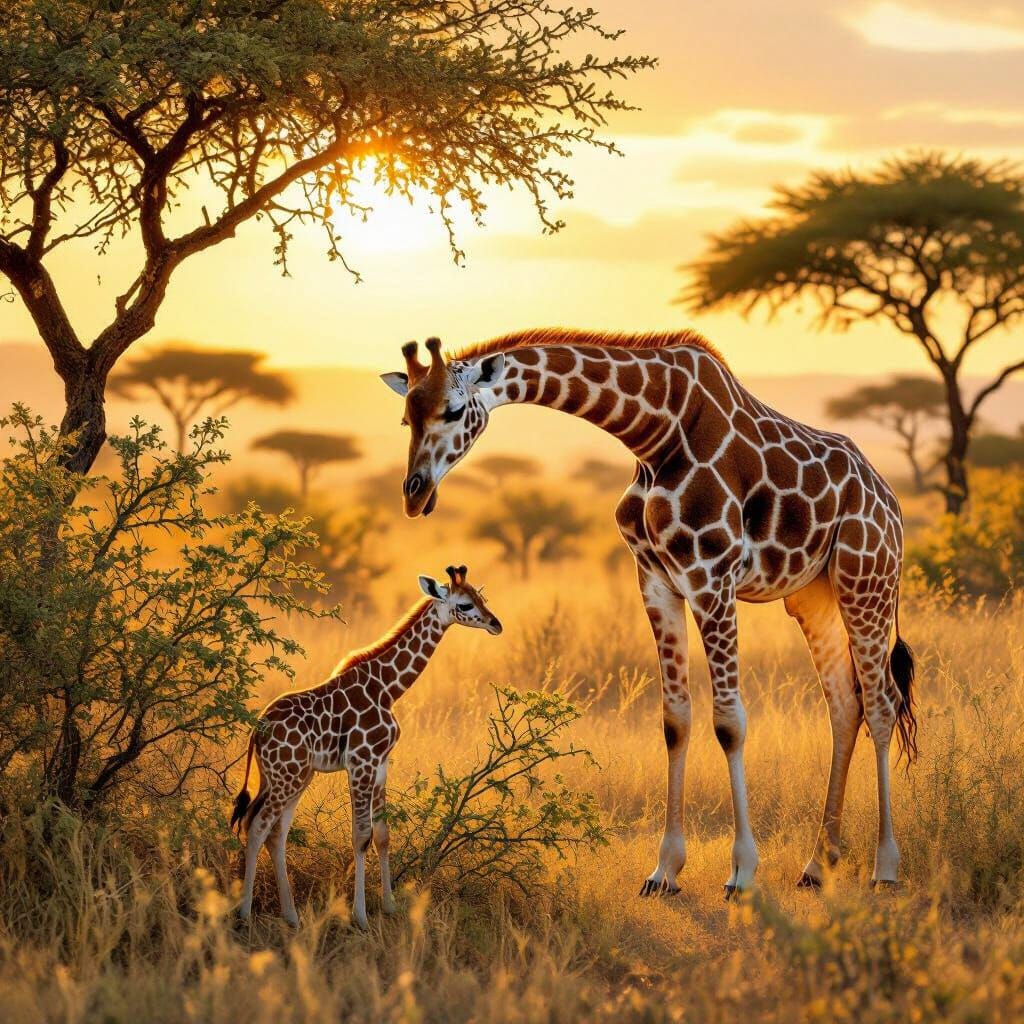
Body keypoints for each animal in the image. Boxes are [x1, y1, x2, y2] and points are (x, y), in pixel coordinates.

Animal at [231, 565, 502, 928]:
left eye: (481, 598)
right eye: (465, 605)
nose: (496, 624)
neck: (387, 688)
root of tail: (256, 732)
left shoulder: (381, 763)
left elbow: (383, 835)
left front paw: (389, 906)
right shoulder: (361, 761)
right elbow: (361, 836)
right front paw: (360, 916)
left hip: (293, 777)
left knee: (275, 832)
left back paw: (291, 916)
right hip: (286, 777)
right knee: (257, 825)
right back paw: (245, 913)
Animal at [381, 331, 917, 897]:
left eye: (453, 409)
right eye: (406, 418)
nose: (415, 494)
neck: (653, 432)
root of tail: (891, 500)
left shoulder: (712, 577)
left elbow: (729, 722)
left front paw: (742, 872)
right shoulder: (657, 581)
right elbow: (674, 720)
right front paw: (664, 871)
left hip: (867, 581)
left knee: (882, 703)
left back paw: (885, 866)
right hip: (816, 596)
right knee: (844, 704)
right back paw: (818, 865)